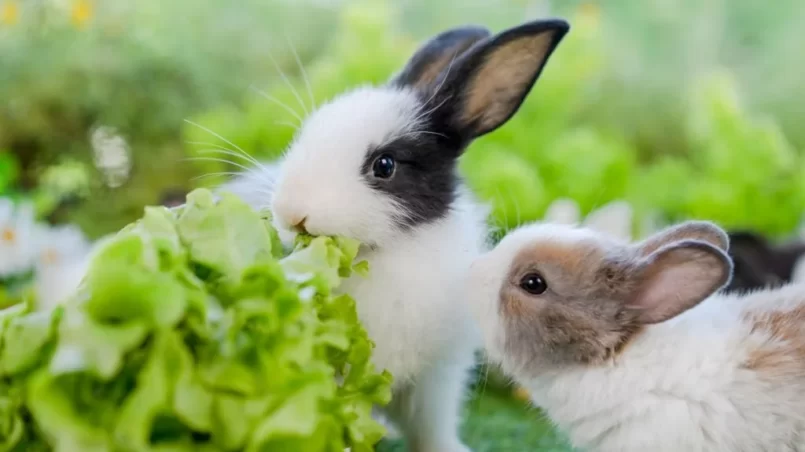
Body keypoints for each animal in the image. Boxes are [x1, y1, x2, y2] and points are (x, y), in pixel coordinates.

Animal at [220, 18, 572, 452]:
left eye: (384, 166)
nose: (292, 213)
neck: (386, 253)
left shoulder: (437, 378)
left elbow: (431, 428)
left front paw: (450, 449)